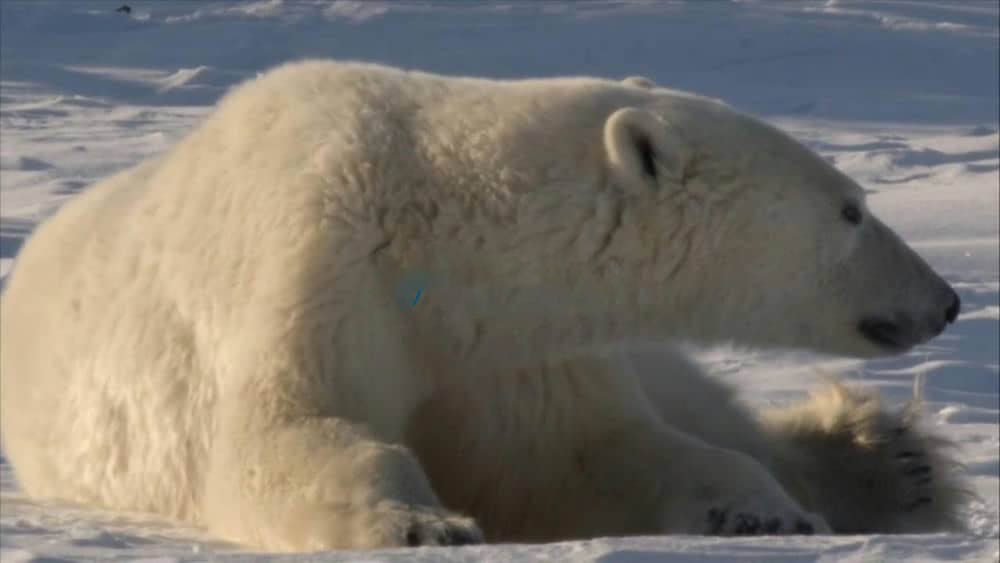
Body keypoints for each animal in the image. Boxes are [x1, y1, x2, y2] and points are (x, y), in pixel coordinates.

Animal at [1, 60, 968, 552]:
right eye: (851, 209)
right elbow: (283, 430)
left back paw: (888, 459)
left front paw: (762, 508)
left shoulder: (515, 343)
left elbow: (584, 451)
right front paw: (419, 521)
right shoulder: (317, 268)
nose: (948, 299)